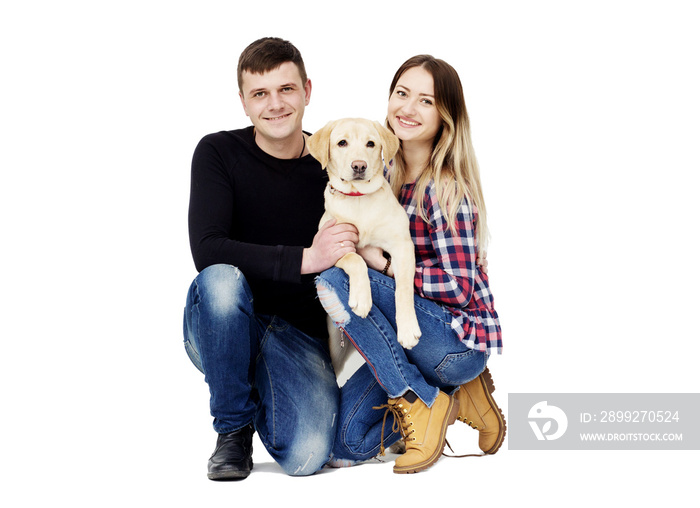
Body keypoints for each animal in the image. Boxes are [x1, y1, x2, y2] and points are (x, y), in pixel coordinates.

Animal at [308, 118, 422, 374]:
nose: (359, 166)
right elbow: (357, 259)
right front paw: (362, 297)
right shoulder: (335, 246)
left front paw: (408, 328)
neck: (358, 198)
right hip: (336, 347)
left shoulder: (403, 247)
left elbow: (403, 289)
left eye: (371, 144)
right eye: (342, 143)